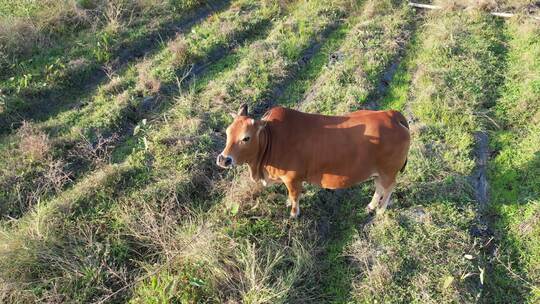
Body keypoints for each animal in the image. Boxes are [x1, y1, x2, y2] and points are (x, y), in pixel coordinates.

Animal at [215, 104, 410, 218]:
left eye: (246, 138)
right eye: (227, 132)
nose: (223, 159)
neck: (272, 138)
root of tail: (392, 115)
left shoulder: (293, 179)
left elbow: (294, 196)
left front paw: (294, 213)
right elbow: (291, 196)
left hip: (388, 171)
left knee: (389, 188)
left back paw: (381, 210)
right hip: (377, 171)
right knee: (379, 187)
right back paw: (371, 206)